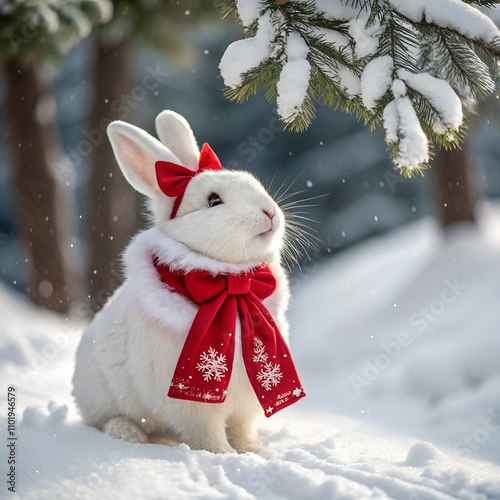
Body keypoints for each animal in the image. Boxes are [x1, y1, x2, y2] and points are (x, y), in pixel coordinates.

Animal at [72, 109, 302, 454]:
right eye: (213, 200)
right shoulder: (192, 402)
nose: (270, 212)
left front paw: (252, 450)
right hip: (103, 396)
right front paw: (222, 455)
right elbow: (206, 433)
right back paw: (127, 433)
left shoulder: (246, 398)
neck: (229, 288)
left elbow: (240, 427)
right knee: (108, 420)